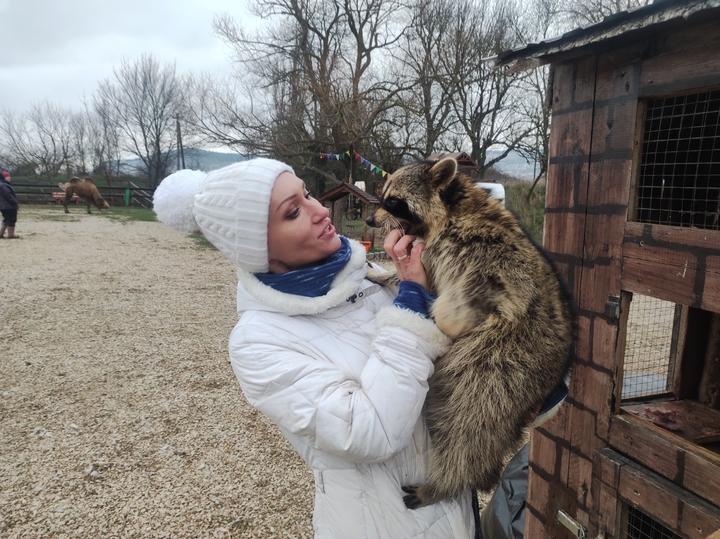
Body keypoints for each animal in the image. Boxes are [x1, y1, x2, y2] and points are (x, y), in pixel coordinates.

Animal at [366, 157, 572, 510]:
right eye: (384, 197)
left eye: (393, 202)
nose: (369, 218)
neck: (453, 208)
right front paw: (383, 275)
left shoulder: (478, 253)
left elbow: (459, 301)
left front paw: (442, 315)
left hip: (505, 361)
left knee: (470, 415)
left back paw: (447, 481)